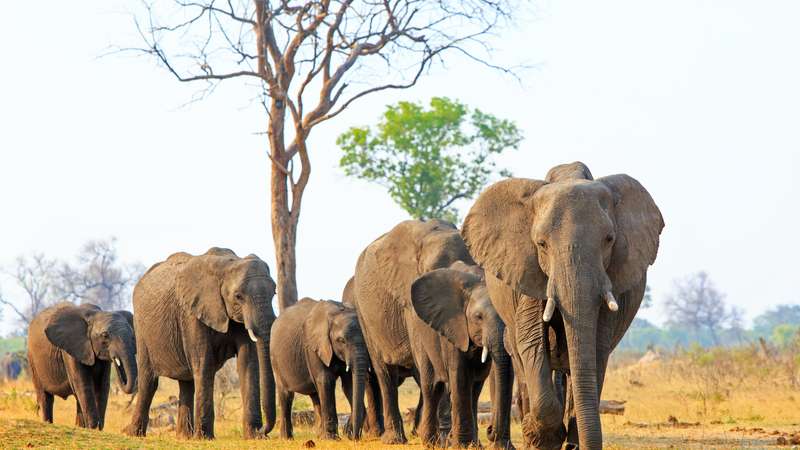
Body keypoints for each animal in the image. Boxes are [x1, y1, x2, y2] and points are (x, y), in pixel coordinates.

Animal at [123, 247, 276, 439]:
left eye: (274, 293)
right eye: (238, 296)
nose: (264, 431)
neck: (226, 265)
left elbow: (247, 363)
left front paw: (253, 437)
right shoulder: (192, 314)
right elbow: (204, 364)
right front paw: (205, 438)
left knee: (187, 382)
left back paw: (184, 436)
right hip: (142, 330)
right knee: (149, 382)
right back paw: (135, 434)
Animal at [270, 298, 368, 440]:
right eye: (341, 340)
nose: (353, 436)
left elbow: (349, 384)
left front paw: (344, 434)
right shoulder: (313, 346)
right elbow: (326, 381)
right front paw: (332, 439)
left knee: (316, 395)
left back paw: (319, 436)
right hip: (276, 361)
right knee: (287, 395)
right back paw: (286, 438)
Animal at [352, 219, 513, 447]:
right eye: (432, 269)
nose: (490, 431)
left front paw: (467, 443)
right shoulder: (409, 295)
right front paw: (450, 441)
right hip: (364, 315)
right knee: (386, 374)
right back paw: (395, 439)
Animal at [462, 162, 664, 450]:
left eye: (609, 240)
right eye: (541, 244)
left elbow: (595, 346)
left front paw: (565, 441)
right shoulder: (528, 271)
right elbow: (532, 340)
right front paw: (539, 438)